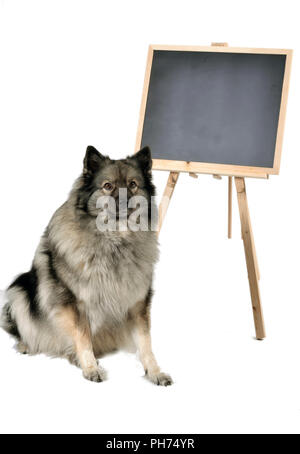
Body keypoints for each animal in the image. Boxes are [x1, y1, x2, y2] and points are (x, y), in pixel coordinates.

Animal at [0, 146, 173, 386]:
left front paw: (155, 372)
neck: (115, 241)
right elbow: (82, 337)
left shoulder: (138, 303)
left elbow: (145, 342)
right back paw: (28, 345)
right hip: (19, 289)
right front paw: (91, 368)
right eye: (107, 185)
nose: (123, 202)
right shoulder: (75, 304)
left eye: (133, 184)